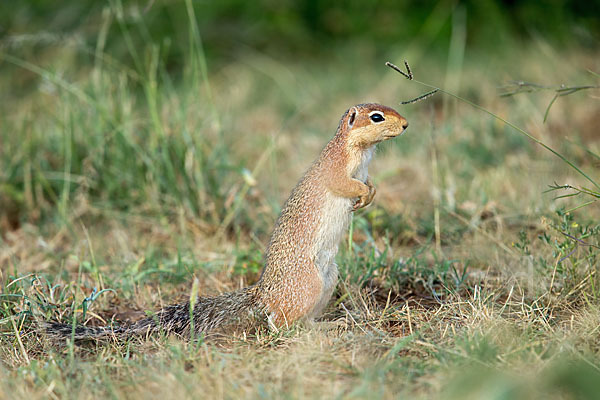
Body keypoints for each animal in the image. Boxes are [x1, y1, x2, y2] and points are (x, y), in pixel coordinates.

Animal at [43, 103, 408, 340]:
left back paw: (329, 325)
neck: (361, 151)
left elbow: (369, 182)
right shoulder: (336, 170)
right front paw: (363, 194)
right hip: (308, 285)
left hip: (329, 280)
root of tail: (262, 293)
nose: (405, 124)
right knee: (279, 324)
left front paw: (371, 194)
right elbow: (346, 184)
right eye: (376, 117)